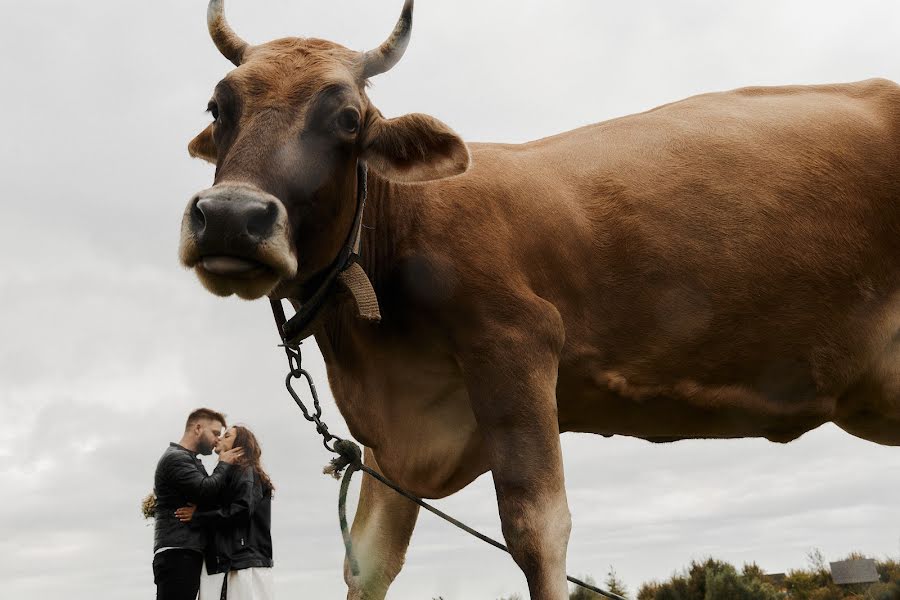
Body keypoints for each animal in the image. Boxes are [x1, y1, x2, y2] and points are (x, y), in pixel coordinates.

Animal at [178, 1, 900, 600]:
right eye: (217, 107)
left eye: (348, 118)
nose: (230, 217)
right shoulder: (396, 438)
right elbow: (370, 558)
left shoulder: (514, 344)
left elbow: (536, 530)